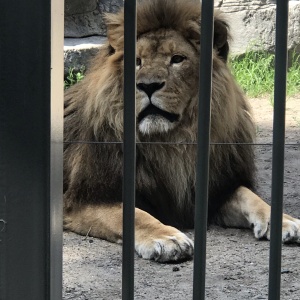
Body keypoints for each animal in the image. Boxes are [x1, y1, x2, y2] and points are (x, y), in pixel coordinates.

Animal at [63, 0, 300, 262]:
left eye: (177, 59)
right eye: (137, 61)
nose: (147, 86)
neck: (172, 142)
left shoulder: (214, 191)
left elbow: (248, 195)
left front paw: (283, 220)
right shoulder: (84, 200)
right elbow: (133, 214)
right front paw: (167, 238)